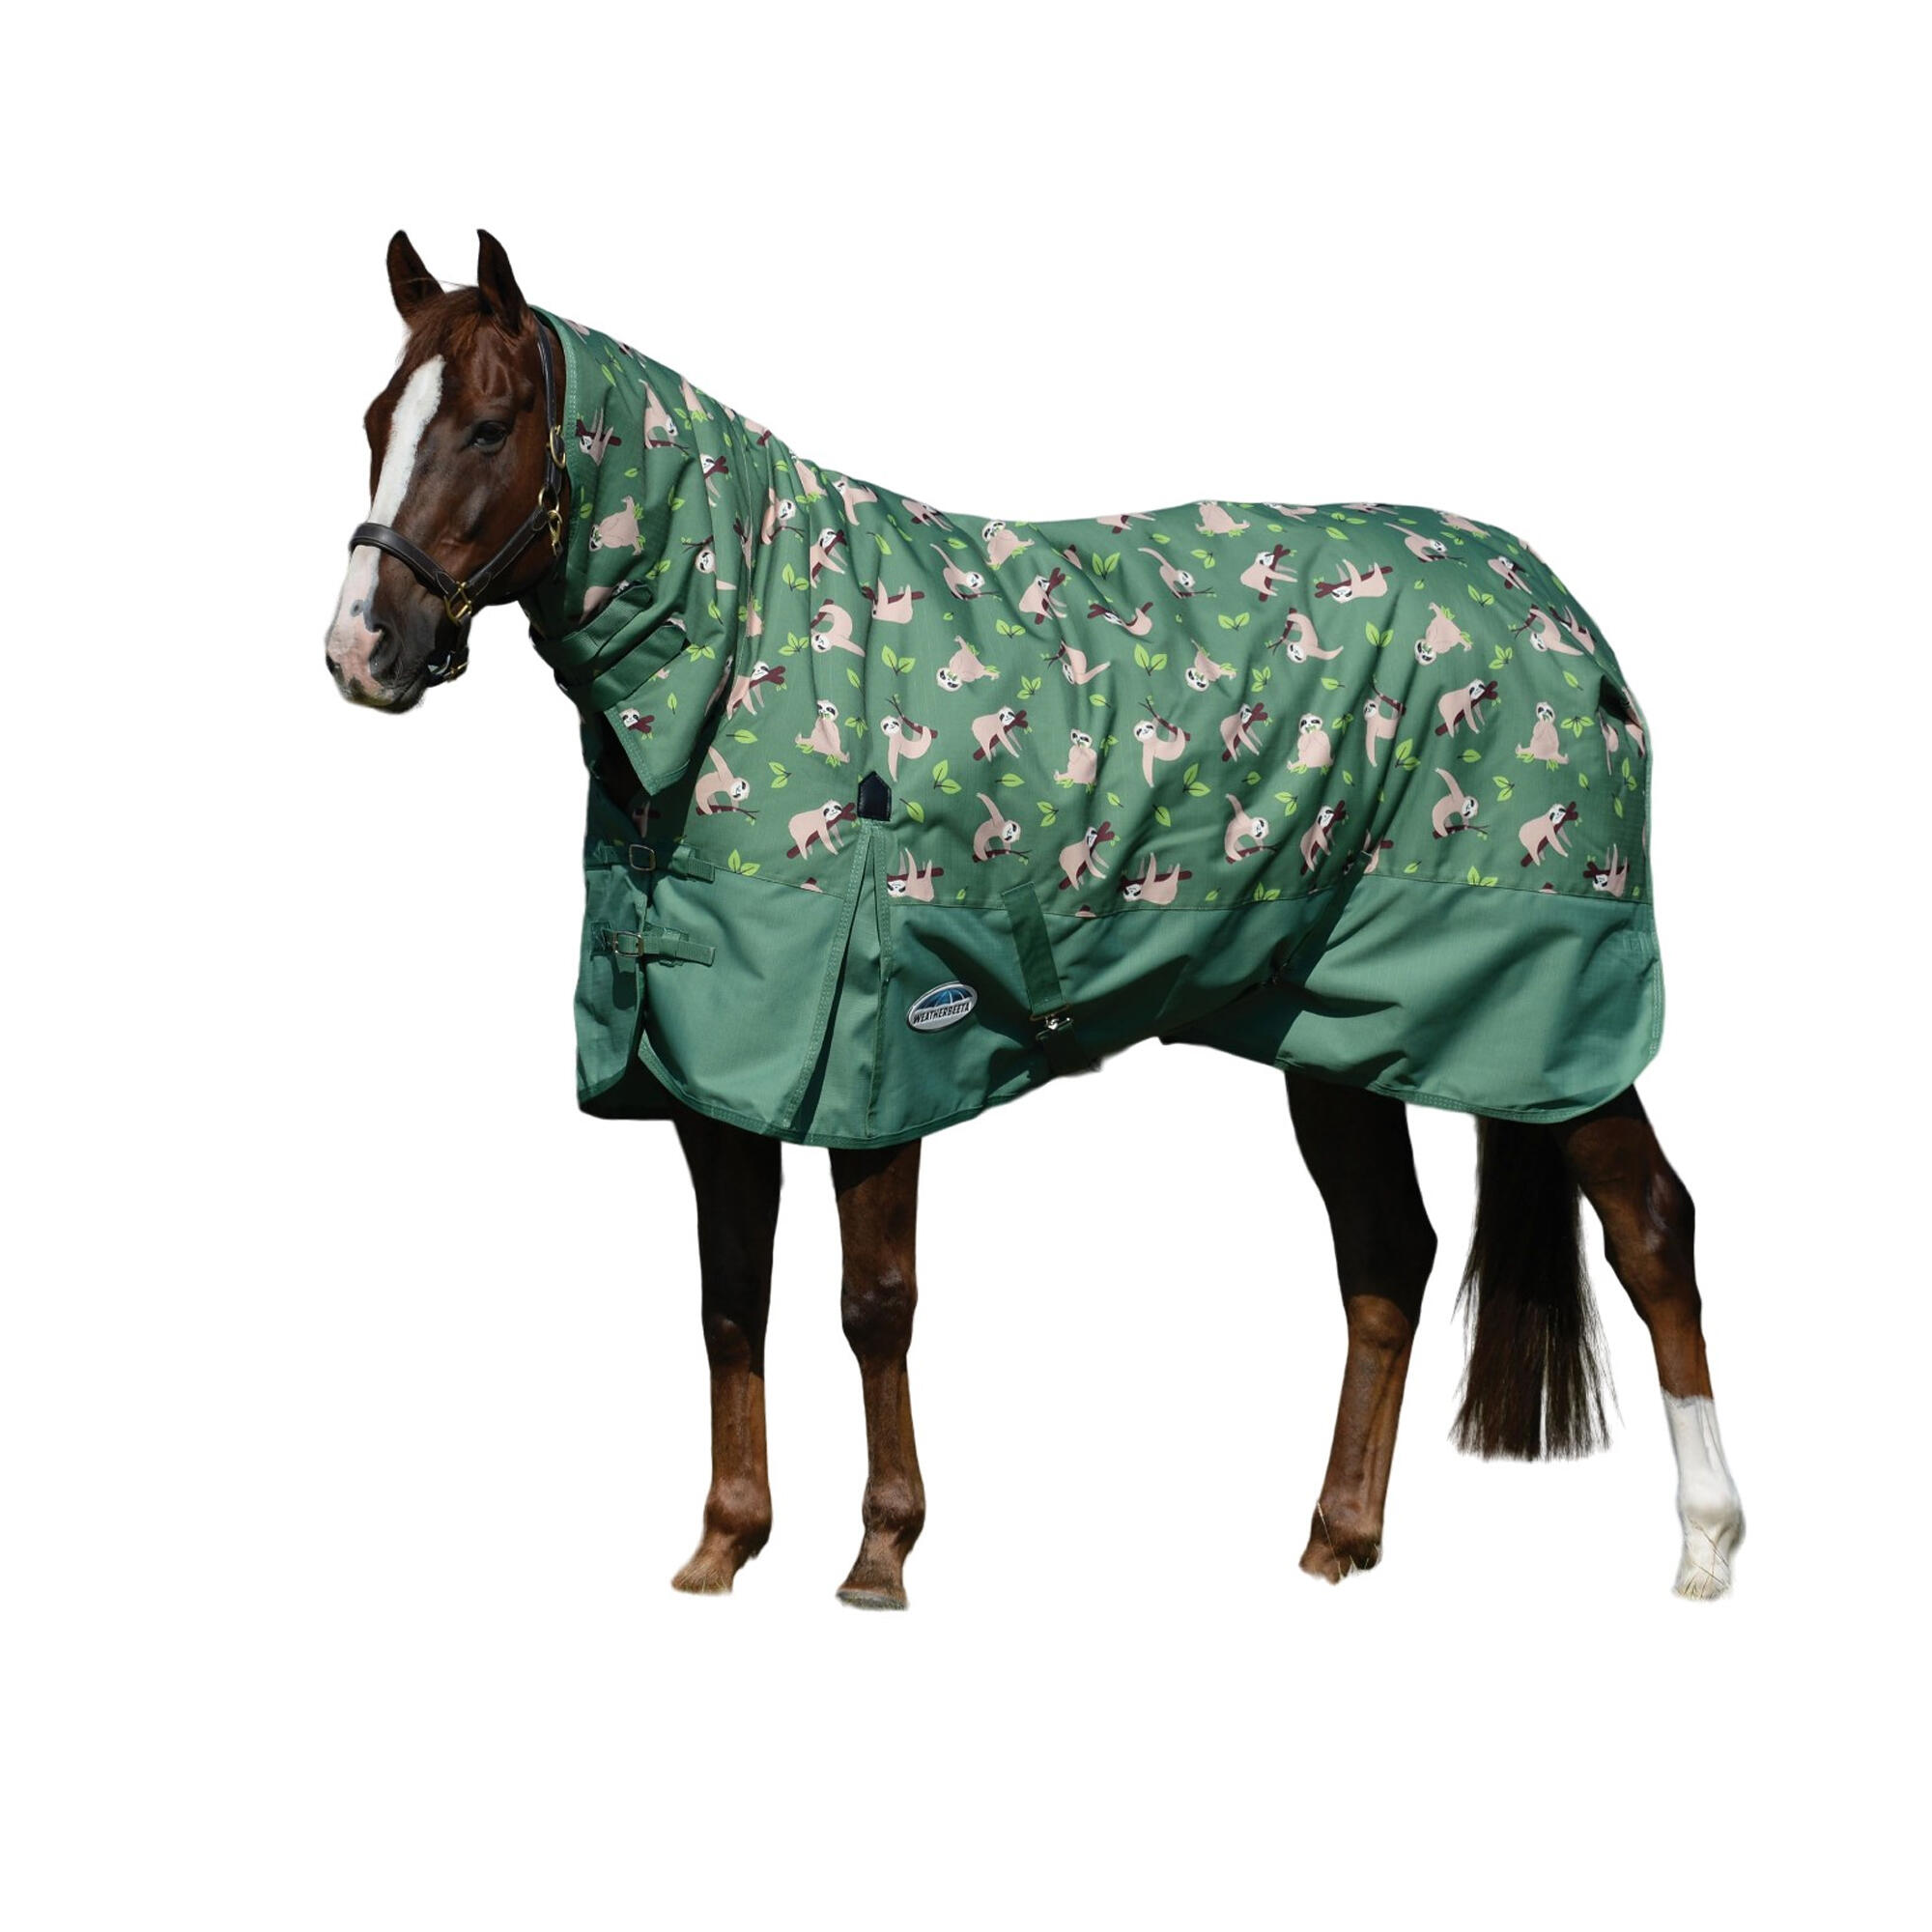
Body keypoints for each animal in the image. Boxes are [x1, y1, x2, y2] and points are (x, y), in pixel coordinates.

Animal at [323, 230, 1744, 1607]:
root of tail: (1555, 614)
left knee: (1650, 1229)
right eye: (378, 418)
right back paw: (1335, 1542)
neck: (749, 661)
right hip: (1341, 1030)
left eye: (489, 428)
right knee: (1388, 1255)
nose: (360, 649)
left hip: (1545, 1022)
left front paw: (880, 1554)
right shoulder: (710, 1066)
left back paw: (1704, 1544)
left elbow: (873, 1302)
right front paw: (723, 1545)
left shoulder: (884, 1051)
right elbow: (731, 1301)